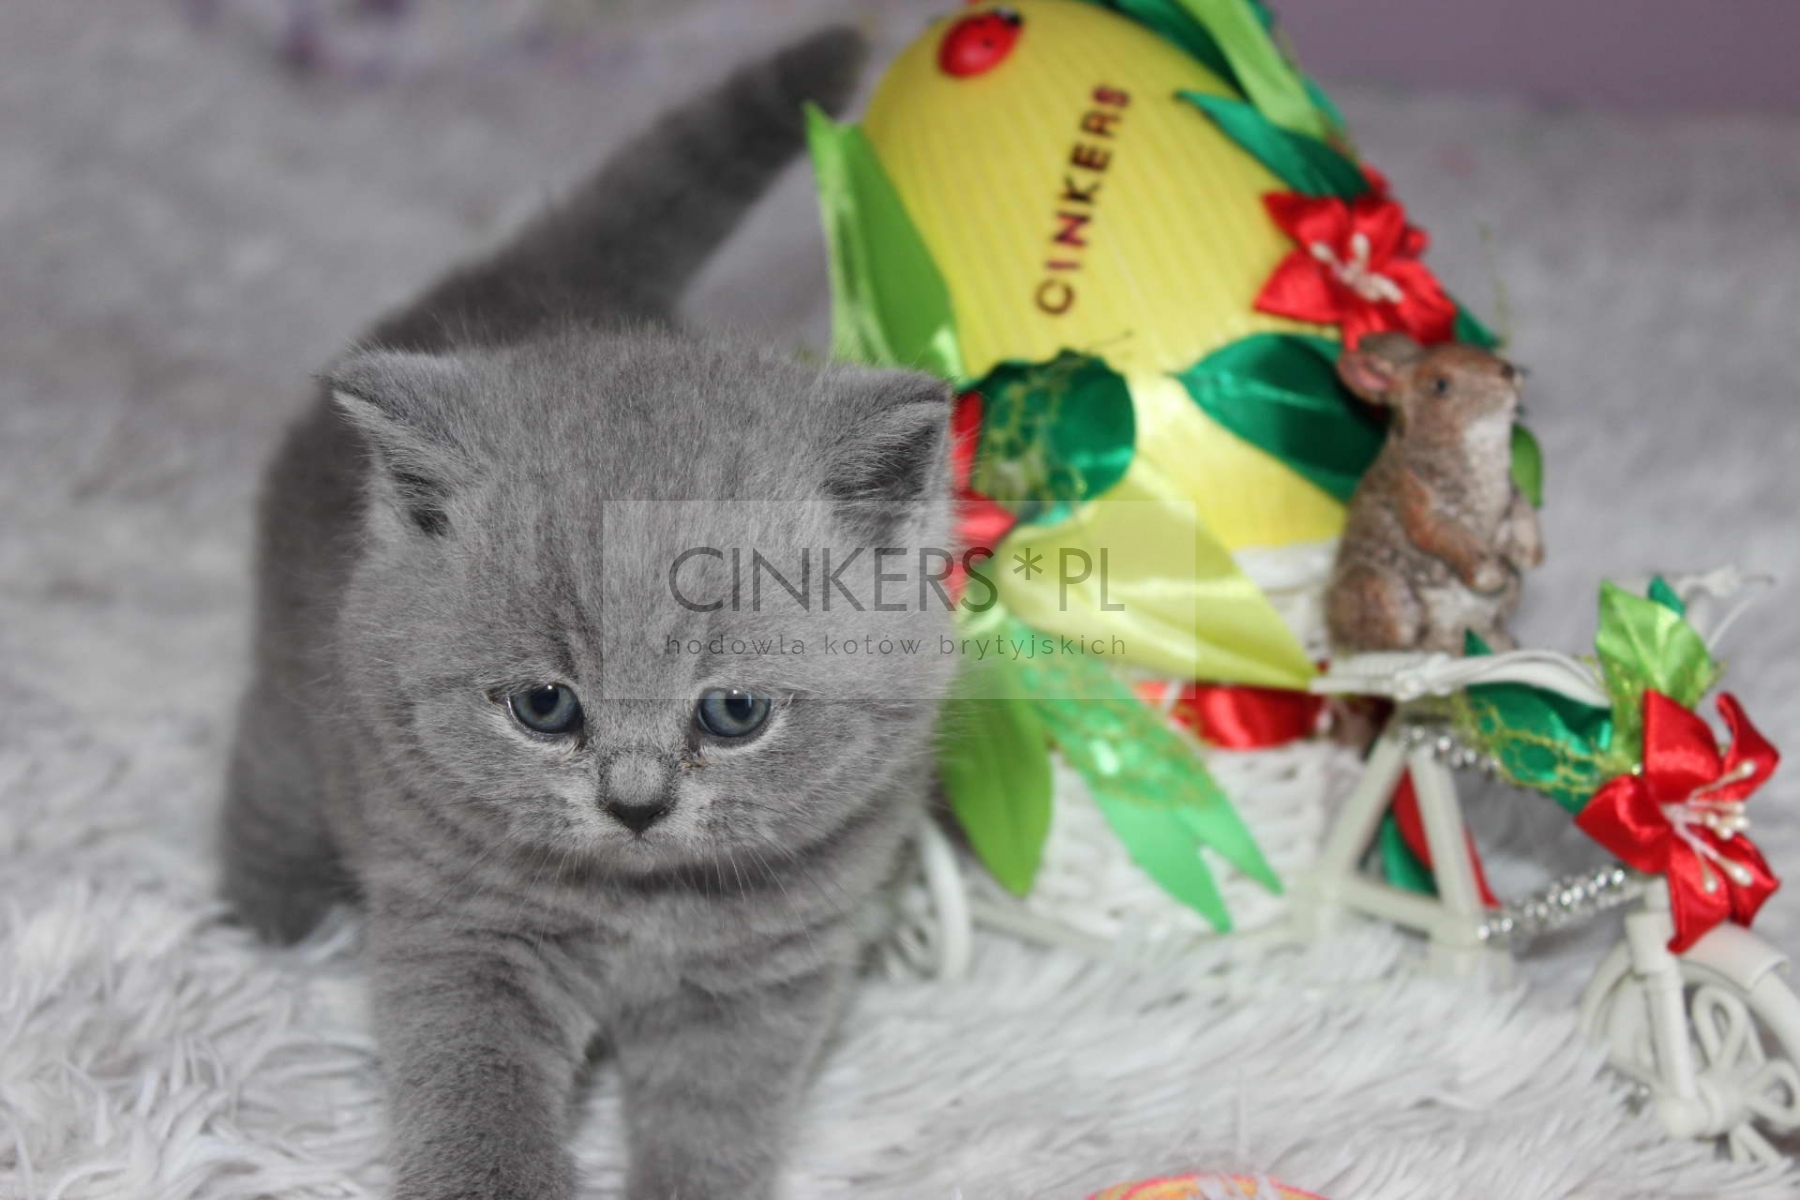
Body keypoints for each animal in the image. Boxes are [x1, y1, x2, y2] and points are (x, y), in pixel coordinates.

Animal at [220, 27, 959, 1199]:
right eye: (544, 707)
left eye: (734, 713)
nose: (636, 802)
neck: (638, 912)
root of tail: (549, 274)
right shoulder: (465, 932)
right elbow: (478, 1105)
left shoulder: (760, 980)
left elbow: (714, 1128)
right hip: (303, 679)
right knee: (269, 766)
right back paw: (269, 919)